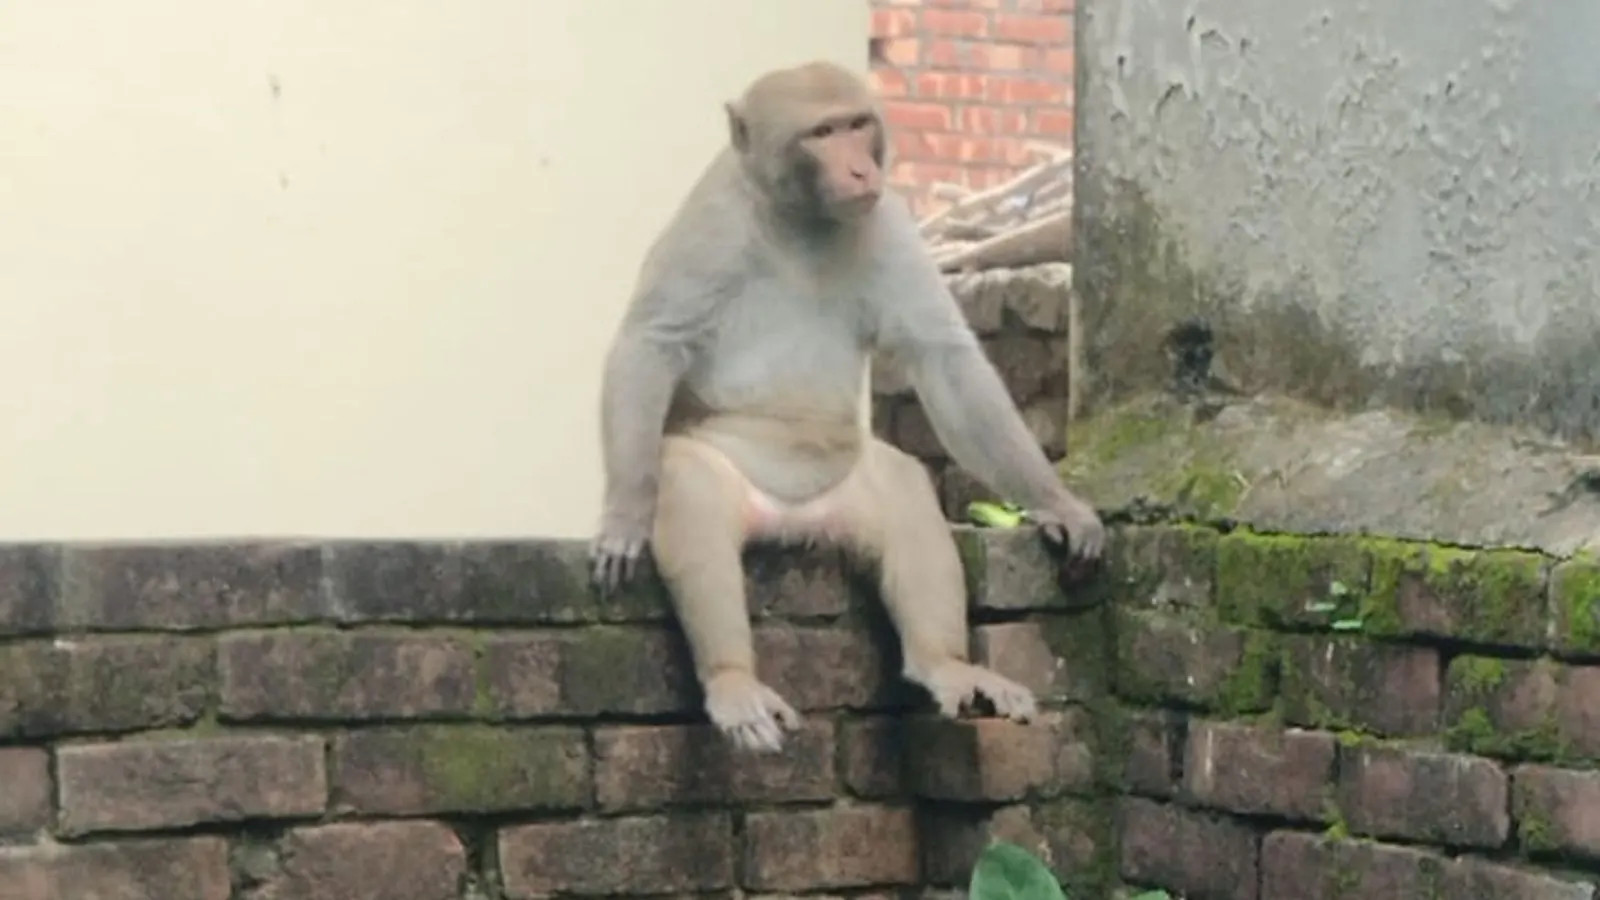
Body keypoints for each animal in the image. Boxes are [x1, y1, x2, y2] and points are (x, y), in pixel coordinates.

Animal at [589, 60, 1105, 753]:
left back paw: (945, 664)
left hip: (850, 494)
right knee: (690, 481)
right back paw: (733, 680)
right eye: (822, 133)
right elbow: (653, 342)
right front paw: (623, 513)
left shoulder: (887, 219)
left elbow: (945, 358)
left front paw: (1055, 501)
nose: (860, 169)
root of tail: (794, 523)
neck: (799, 217)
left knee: (905, 489)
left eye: (858, 125)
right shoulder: (712, 223)